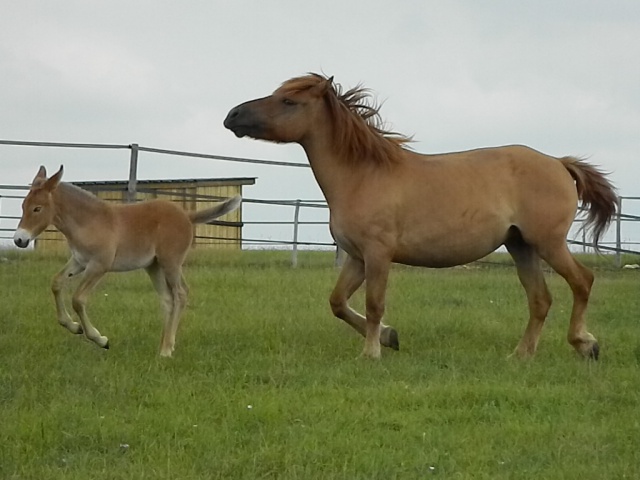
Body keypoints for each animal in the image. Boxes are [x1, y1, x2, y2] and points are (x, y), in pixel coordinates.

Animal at [15, 166, 241, 356]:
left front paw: (100, 339)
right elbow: (56, 283)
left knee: (181, 294)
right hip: (154, 267)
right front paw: (73, 326)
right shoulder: (79, 261)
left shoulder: (99, 265)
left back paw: (167, 349)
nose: (19, 240)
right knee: (167, 299)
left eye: (37, 208)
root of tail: (187, 215)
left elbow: (78, 299)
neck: (89, 221)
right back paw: (162, 346)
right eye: (23, 206)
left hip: (171, 263)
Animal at [224, 72, 616, 360]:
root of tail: (559, 163)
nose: (232, 116)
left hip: (549, 243)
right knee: (540, 299)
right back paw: (520, 355)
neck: (363, 175)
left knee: (582, 282)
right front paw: (388, 337)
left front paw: (371, 353)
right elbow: (338, 303)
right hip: (521, 246)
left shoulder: (378, 254)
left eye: (288, 101)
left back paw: (586, 344)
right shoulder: (356, 257)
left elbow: (374, 303)